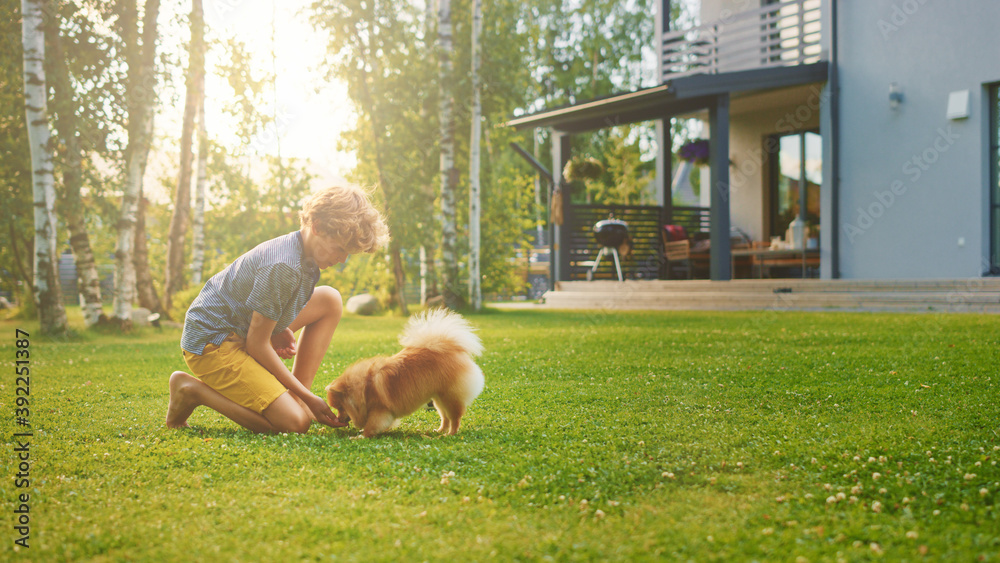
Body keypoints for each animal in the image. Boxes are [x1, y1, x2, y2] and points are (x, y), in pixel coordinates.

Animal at [324, 310, 484, 438]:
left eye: (340, 408)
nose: (338, 418)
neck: (364, 387)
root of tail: (452, 348)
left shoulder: (380, 410)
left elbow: (372, 425)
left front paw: (361, 436)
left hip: (450, 396)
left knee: (455, 418)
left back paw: (450, 434)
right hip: (439, 397)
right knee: (445, 417)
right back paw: (439, 430)